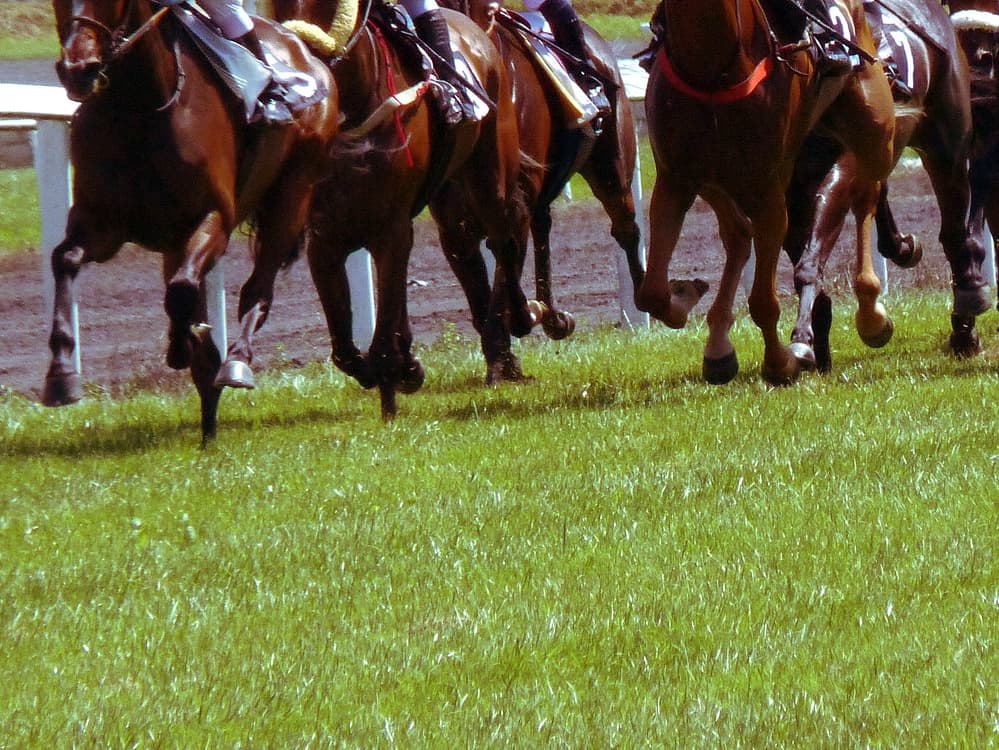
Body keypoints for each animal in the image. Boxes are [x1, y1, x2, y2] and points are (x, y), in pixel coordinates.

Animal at [46, 0, 339, 443]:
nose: (78, 69)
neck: (139, 107)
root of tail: (307, 53)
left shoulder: (214, 216)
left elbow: (183, 289)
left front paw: (187, 344)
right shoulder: (101, 222)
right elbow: (64, 260)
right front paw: (62, 374)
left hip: (294, 192)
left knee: (257, 290)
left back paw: (235, 362)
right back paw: (207, 423)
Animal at [258, 0, 529, 413]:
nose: (303, 76)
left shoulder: (391, 229)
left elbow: (382, 335)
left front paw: (394, 387)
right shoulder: (325, 237)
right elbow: (345, 349)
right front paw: (404, 368)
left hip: (490, 174)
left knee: (505, 237)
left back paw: (508, 338)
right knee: (465, 244)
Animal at [640, 0, 895, 386]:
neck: (710, 65)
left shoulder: (767, 190)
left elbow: (763, 301)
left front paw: (781, 363)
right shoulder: (675, 179)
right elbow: (652, 292)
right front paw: (684, 297)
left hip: (874, 130)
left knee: (867, 193)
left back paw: (871, 314)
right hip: (715, 179)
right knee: (737, 234)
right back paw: (718, 346)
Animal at [782, 0, 991, 373]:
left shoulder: (842, 161)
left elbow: (810, 257)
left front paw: (805, 341)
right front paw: (816, 344)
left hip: (945, 141)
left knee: (955, 232)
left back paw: (966, 315)